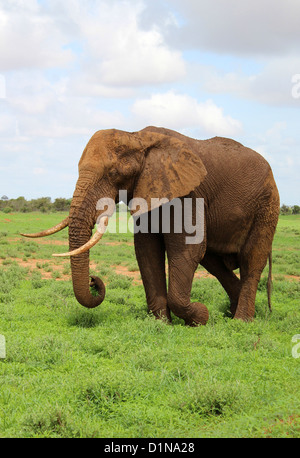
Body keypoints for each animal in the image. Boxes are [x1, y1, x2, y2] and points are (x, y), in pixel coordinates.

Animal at [21, 126, 282, 326]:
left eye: (113, 173)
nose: (94, 281)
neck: (137, 137)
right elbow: (147, 251)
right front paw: (162, 324)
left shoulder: (188, 193)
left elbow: (186, 250)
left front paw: (201, 316)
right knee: (214, 262)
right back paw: (232, 312)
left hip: (267, 205)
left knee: (251, 259)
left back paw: (241, 322)